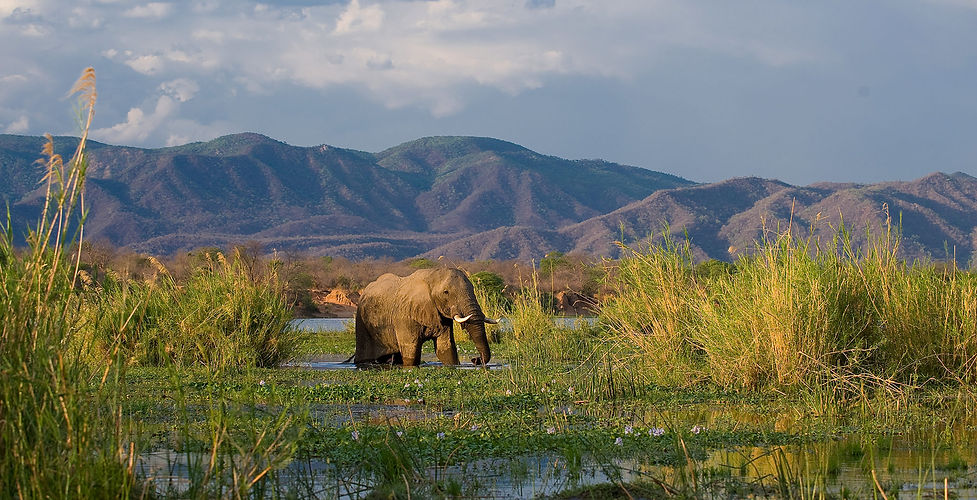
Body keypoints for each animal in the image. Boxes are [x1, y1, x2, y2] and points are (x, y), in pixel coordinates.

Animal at [353, 268, 497, 367]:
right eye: (446, 292)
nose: (475, 360)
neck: (431, 275)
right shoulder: (404, 316)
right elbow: (411, 351)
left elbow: (446, 348)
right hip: (362, 323)